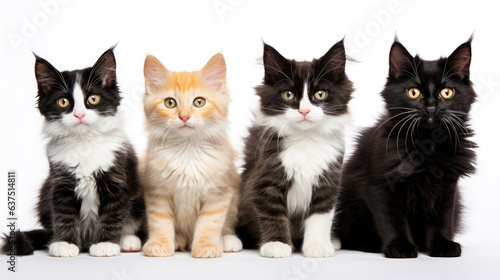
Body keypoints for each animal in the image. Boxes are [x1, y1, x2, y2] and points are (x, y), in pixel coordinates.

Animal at [1, 47, 146, 258]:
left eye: (93, 99)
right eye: (63, 102)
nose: (79, 114)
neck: (84, 143)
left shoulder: (117, 181)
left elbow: (113, 215)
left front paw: (104, 244)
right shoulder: (60, 183)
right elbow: (64, 215)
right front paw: (65, 243)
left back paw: (127, 241)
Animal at [141, 52, 242, 258]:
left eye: (199, 102)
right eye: (170, 103)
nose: (184, 117)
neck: (187, 150)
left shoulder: (219, 192)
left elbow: (210, 222)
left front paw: (206, 246)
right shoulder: (157, 190)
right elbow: (159, 221)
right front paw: (160, 244)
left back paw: (227, 240)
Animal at [236, 40, 354, 258]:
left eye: (320, 94)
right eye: (288, 95)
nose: (304, 111)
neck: (305, 140)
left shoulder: (328, 182)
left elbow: (320, 216)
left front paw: (317, 245)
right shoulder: (265, 181)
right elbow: (272, 214)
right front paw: (276, 244)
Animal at [334, 36, 474, 258]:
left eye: (447, 92)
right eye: (414, 92)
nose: (431, 107)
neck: (427, 145)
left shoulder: (448, 186)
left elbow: (442, 218)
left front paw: (441, 244)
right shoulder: (379, 184)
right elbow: (392, 219)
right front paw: (399, 246)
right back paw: (371, 243)